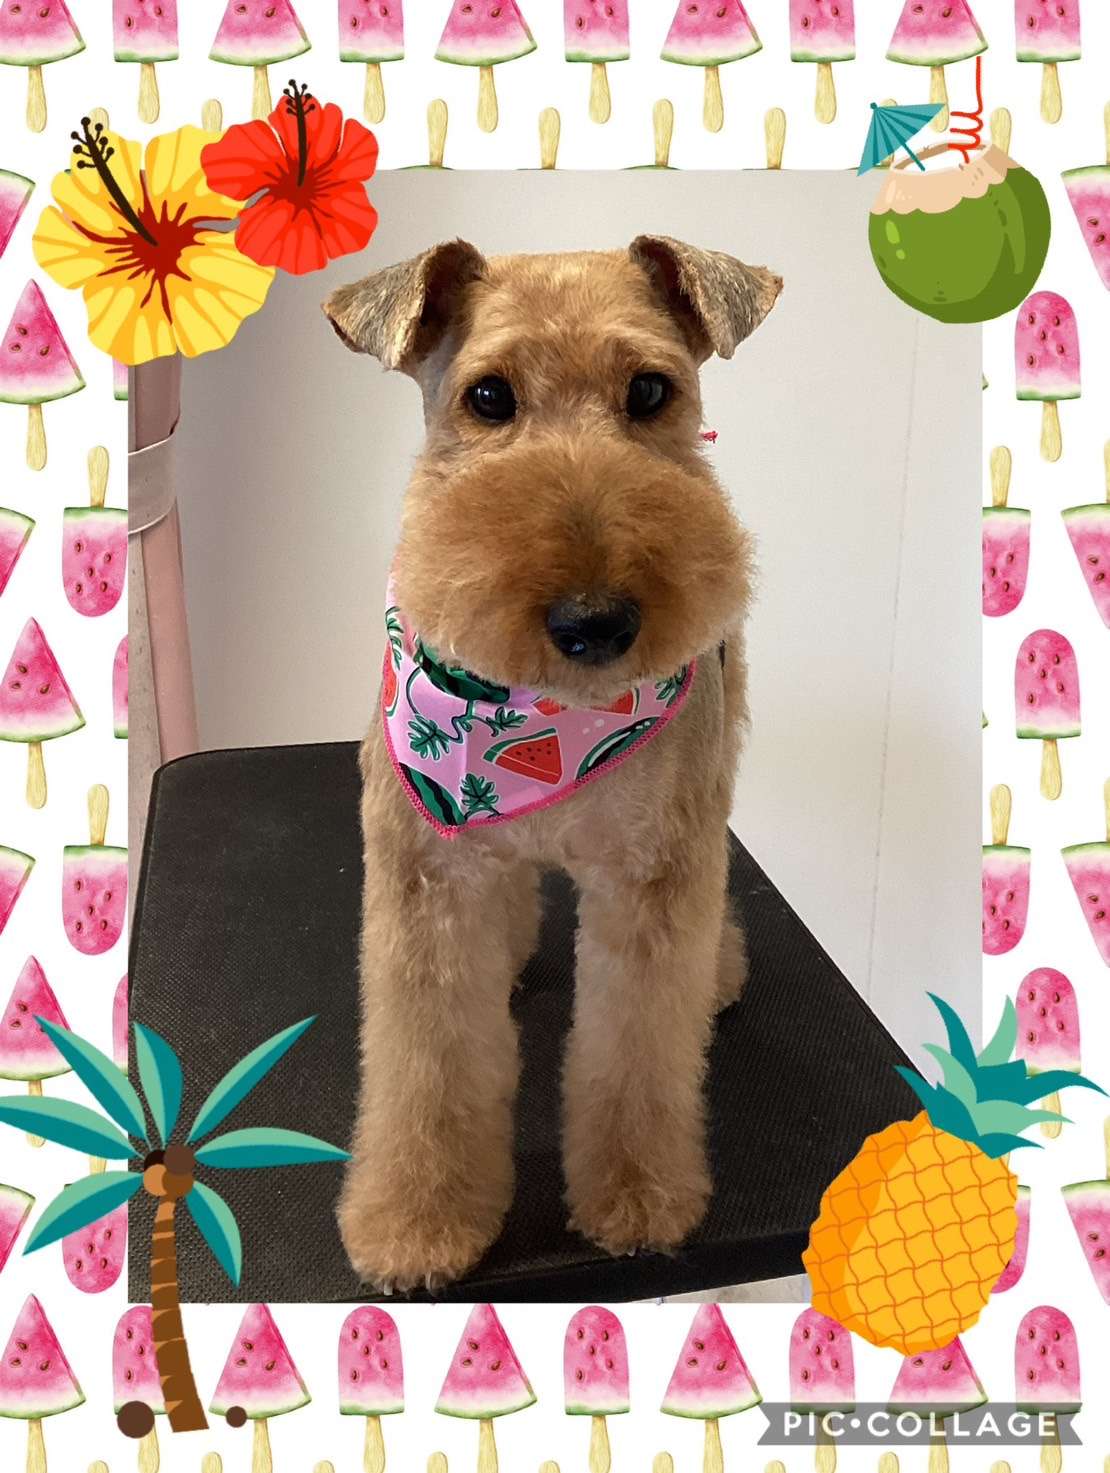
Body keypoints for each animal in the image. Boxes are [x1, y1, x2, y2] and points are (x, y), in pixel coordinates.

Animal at [323, 235, 781, 1290]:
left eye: (651, 390)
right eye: (488, 398)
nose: (595, 621)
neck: (548, 724)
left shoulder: (654, 877)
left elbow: (636, 1055)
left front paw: (639, 1201)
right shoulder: (427, 874)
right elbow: (430, 1067)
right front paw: (416, 1223)